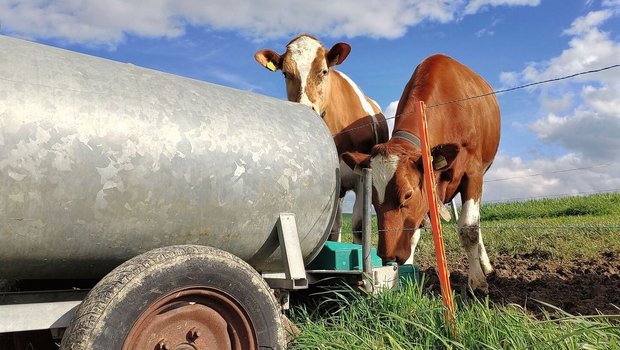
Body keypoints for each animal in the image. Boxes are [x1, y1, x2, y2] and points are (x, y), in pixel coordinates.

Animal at [254, 35, 386, 243]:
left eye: (324, 71)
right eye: (285, 73)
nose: (305, 111)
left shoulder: (362, 177)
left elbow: (358, 226)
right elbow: (331, 228)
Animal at [342, 54, 502, 290]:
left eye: (407, 194)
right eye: (372, 200)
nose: (387, 255)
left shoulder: (473, 174)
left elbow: (469, 228)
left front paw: (477, 281)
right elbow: (412, 233)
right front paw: (405, 273)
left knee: (476, 222)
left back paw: (486, 267)